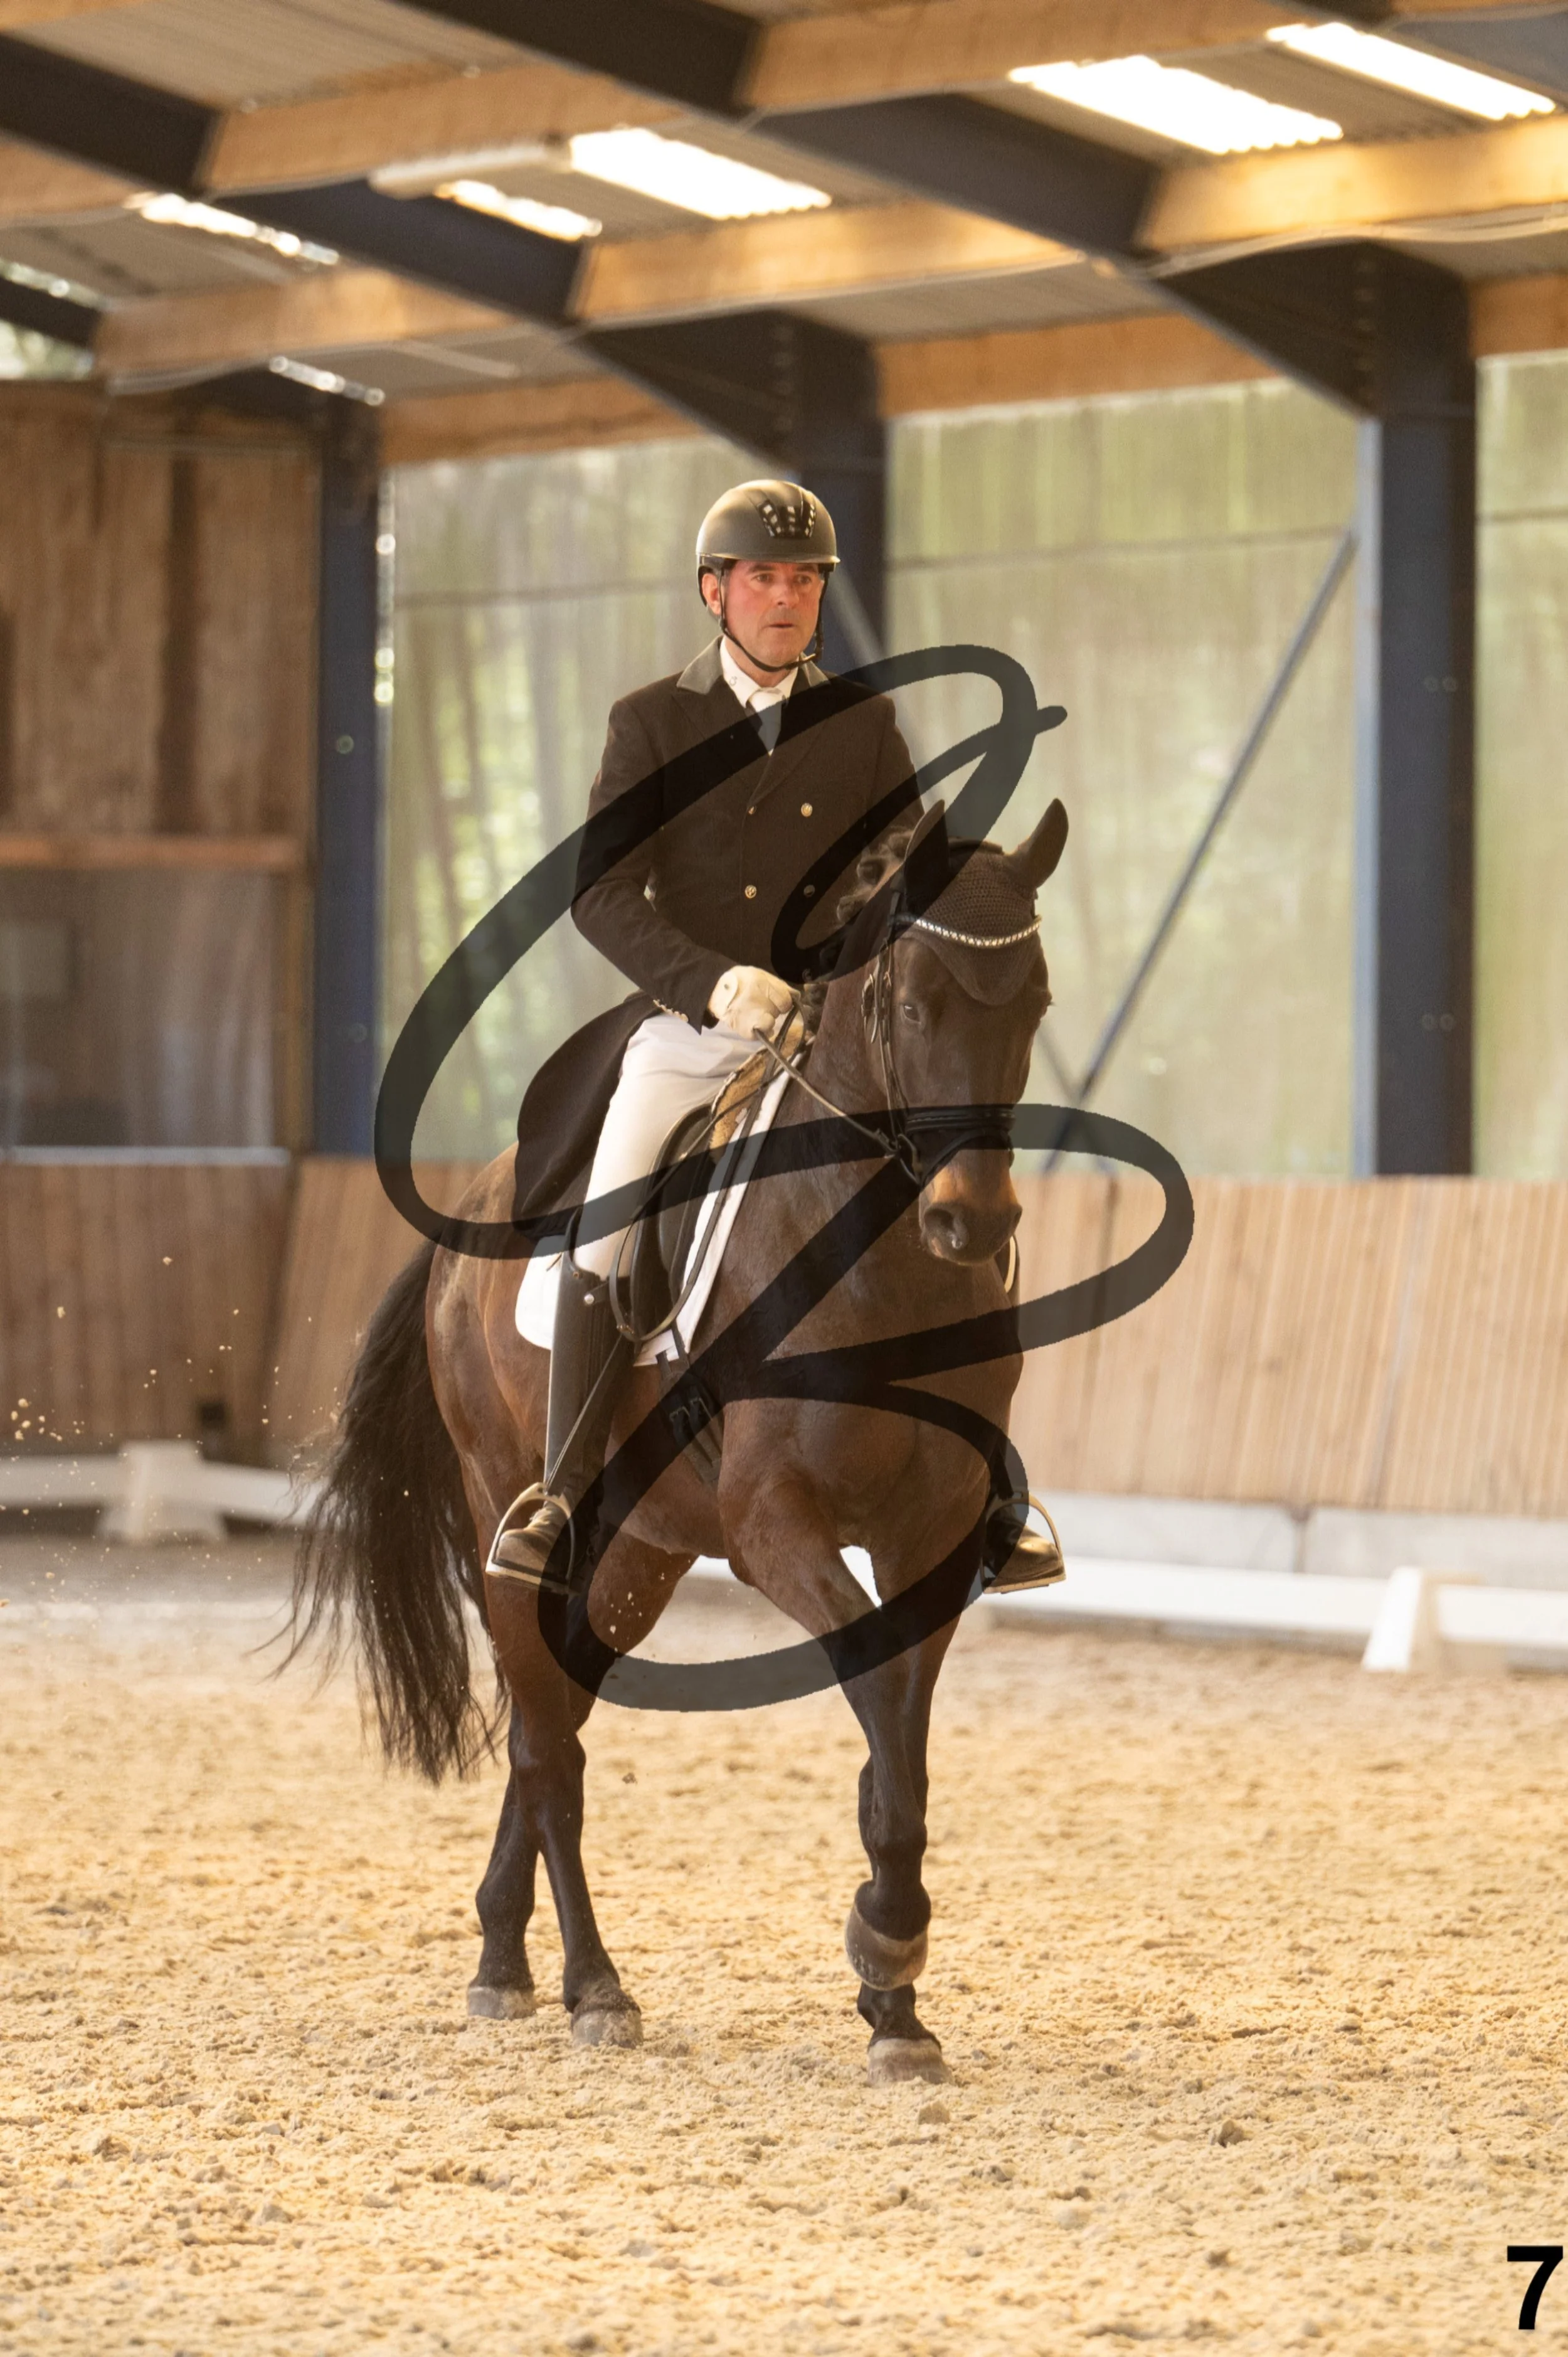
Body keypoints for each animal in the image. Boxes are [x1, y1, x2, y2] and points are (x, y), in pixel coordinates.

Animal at [292, 795, 1068, 2086]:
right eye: (915, 1004)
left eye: (1036, 1003)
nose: (973, 1221)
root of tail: (469, 1226)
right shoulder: (774, 1525)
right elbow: (878, 1704)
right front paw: (886, 1944)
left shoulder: (933, 1535)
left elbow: (901, 1732)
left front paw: (894, 1997)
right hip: (517, 1513)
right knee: (550, 1755)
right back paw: (592, 1986)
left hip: (635, 1560)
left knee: (545, 1720)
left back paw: (503, 1957)